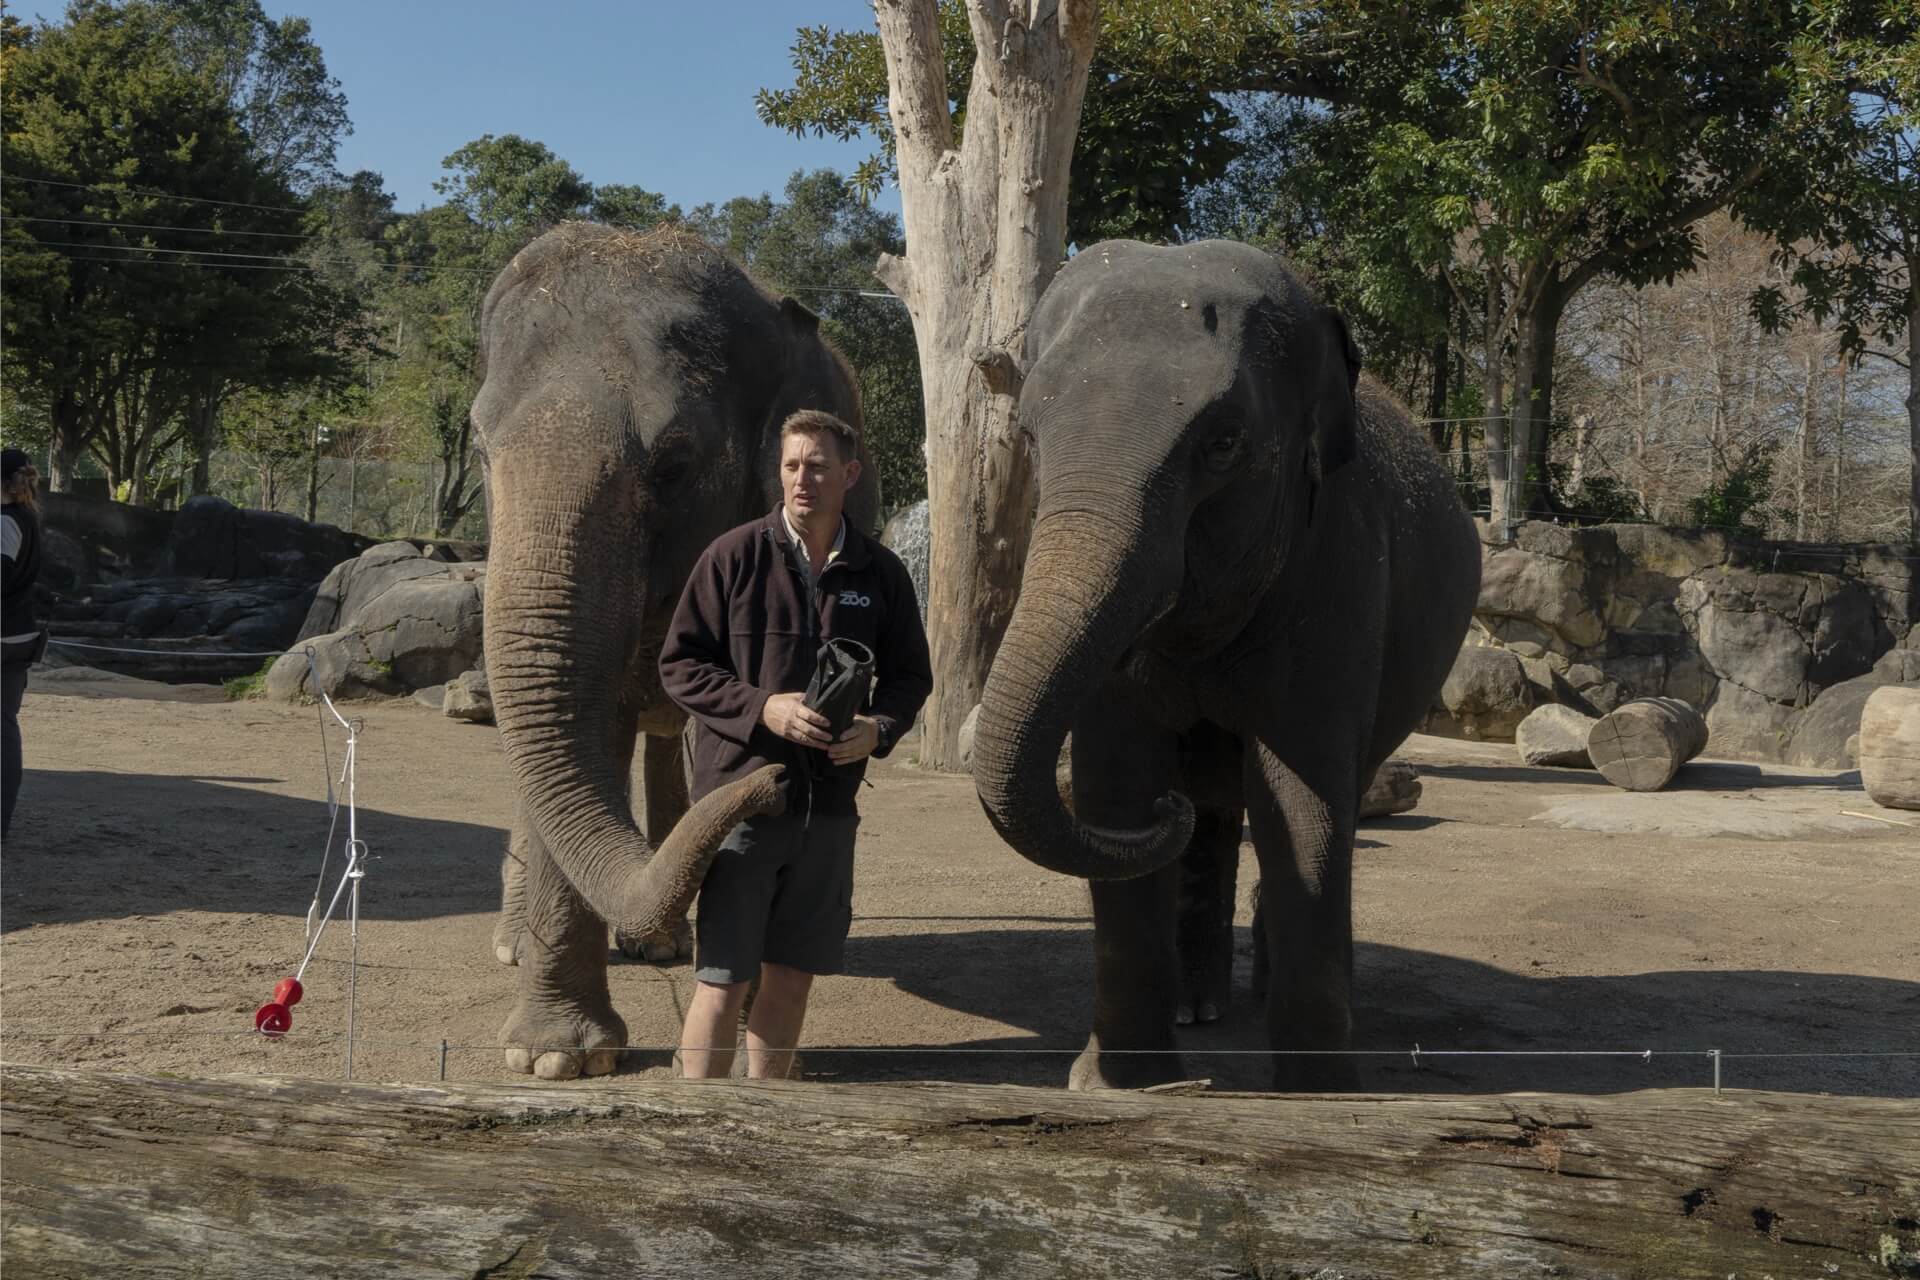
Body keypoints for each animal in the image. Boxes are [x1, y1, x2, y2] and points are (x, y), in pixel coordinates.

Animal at [472, 222, 879, 1082]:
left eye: (675, 466)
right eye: (482, 453)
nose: (775, 788)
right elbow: (583, 721)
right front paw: (554, 1060)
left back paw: (661, 942)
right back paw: (517, 944)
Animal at [975, 237, 1482, 1090]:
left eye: (1223, 444)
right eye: (1032, 437)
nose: (1167, 811)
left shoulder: (1338, 567)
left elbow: (1302, 800)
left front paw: (1318, 1094)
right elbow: (1116, 784)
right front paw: (1117, 1084)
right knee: (1212, 817)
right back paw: (1196, 1005)